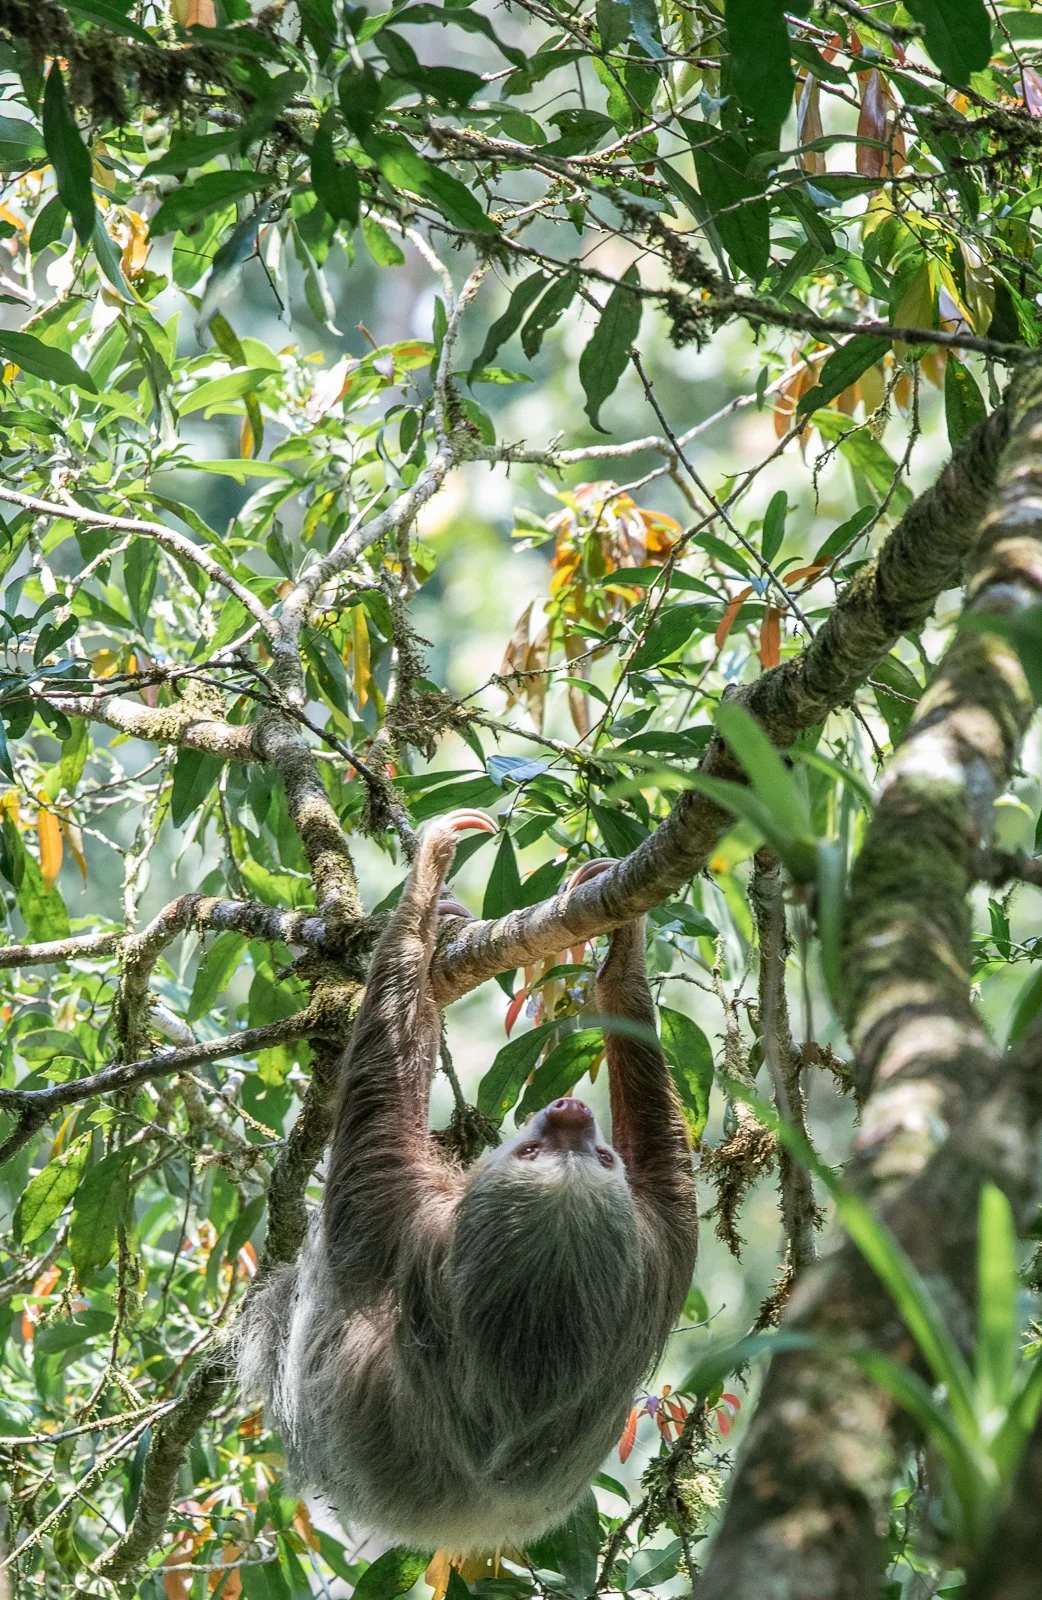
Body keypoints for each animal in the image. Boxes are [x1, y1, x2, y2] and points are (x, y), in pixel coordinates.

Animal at [236, 814, 698, 1555]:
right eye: (600, 1158)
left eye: (541, 1151)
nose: (572, 1112)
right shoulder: (662, 1263)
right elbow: (666, 1163)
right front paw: (621, 952)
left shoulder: (404, 1229)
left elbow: (375, 1108)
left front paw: (427, 878)